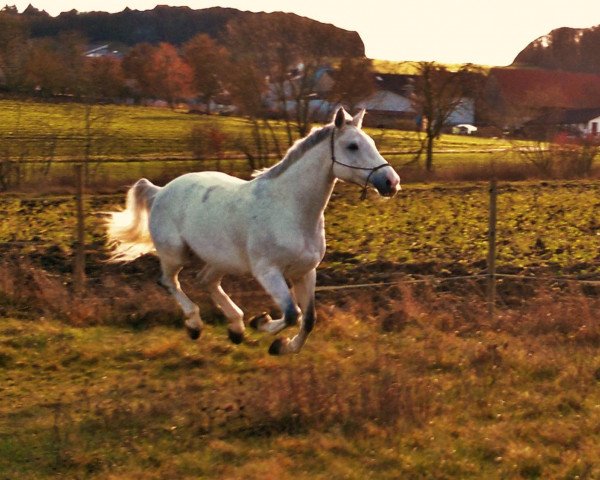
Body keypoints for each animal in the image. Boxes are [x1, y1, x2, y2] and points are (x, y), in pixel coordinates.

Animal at [105, 109, 400, 356]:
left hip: (221, 259)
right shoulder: (267, 271)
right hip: (176, 254)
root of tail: (159, 191)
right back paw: (195, 325)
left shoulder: (305, 271)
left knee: (206, 280)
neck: (291, 210)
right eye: (353, 145)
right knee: (169, 282)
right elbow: (292, 313)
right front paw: (262, 323)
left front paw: (281, 347)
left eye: (371, 143)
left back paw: (236, 329)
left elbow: (309, 319)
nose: (391, 182)